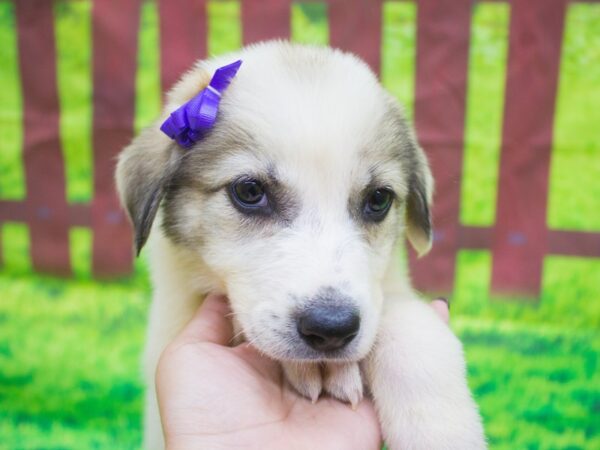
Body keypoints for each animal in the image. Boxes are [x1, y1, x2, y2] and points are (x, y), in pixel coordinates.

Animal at [116, 40, 488, 448]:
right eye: (250, 191)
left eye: (378, 199)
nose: (332, 329)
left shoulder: (386, 287)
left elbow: (411, 329)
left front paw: (439, 429)